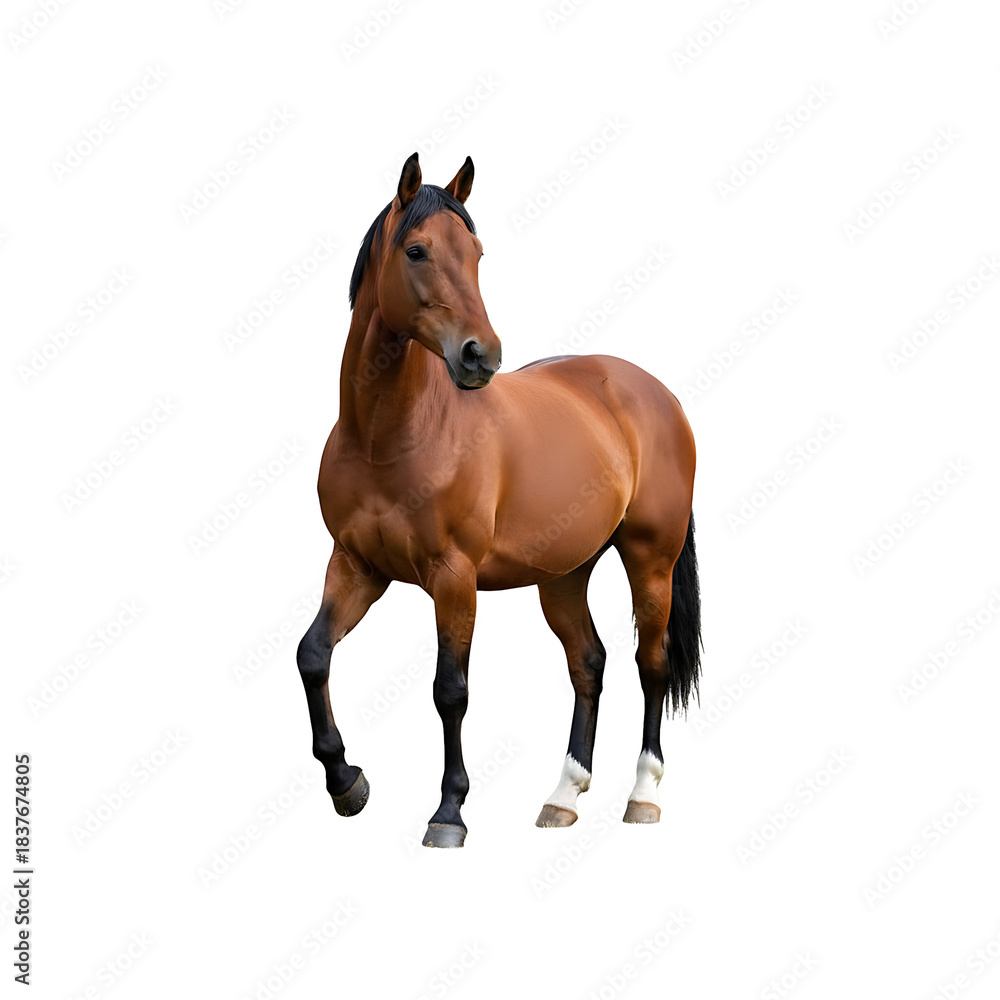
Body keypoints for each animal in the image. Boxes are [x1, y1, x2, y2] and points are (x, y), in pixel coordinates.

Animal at [296, 152, 700, 848]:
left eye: (477, 253)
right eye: (417, 250)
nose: (480, 356)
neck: (389, 437)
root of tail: (653, 392)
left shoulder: (453, 577)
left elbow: (450, 690)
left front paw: (448, 813)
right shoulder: (357, 566)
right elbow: (313, 655)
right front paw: (347, 783)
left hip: (651, 560)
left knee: (651, 662)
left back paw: (643, 795)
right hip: (564, 575)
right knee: (588, 663)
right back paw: (563, 797)